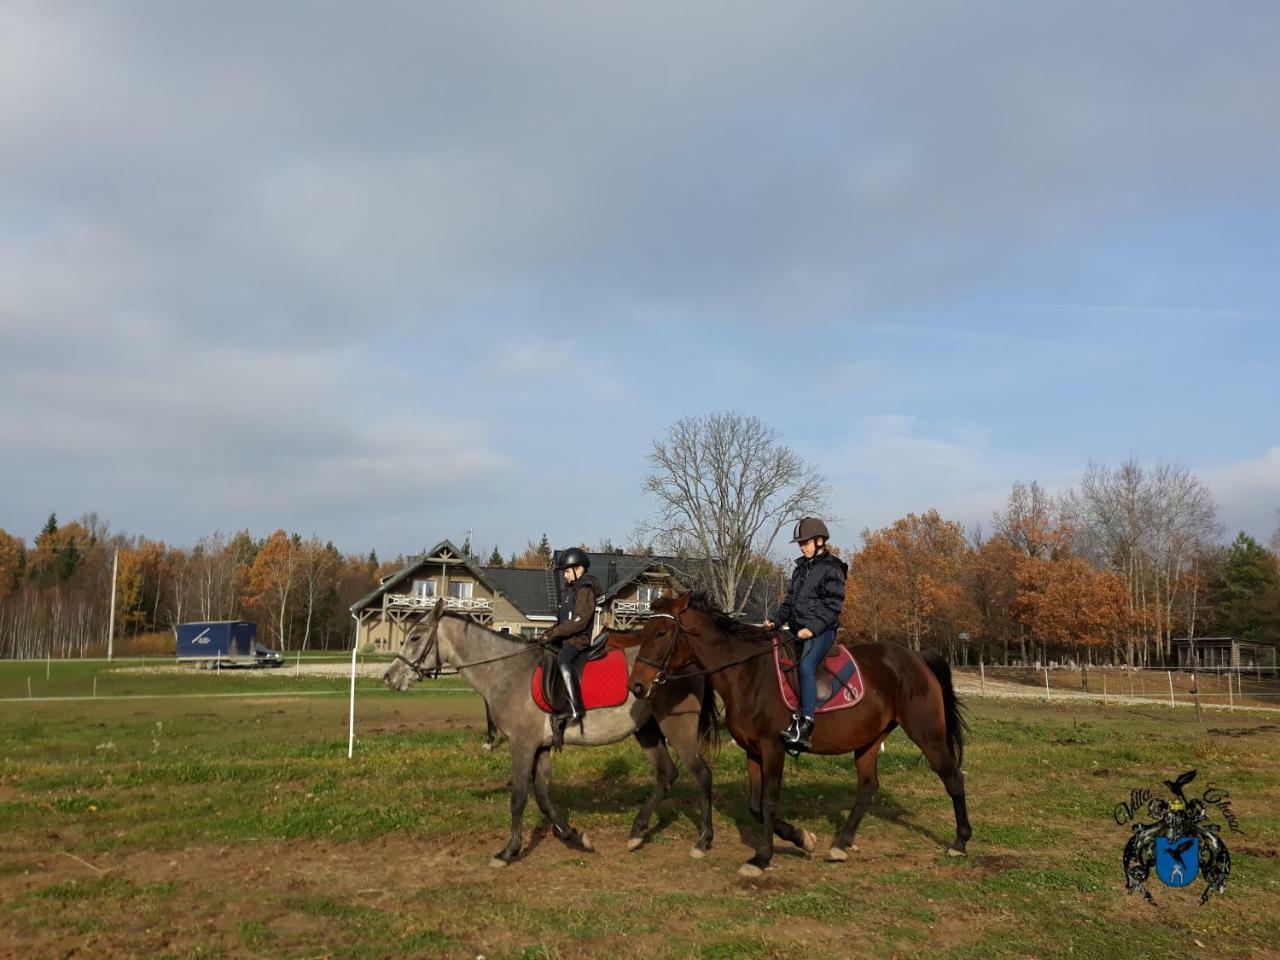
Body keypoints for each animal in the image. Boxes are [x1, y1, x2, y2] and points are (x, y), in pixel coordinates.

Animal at [378, 604, 721, 870]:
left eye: (416, 637)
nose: (390, 677)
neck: (508, 671)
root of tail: (687, 660)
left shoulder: (522, 745)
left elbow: (518, 797)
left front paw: (508, 852)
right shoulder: (540, 748)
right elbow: (543, 797)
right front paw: (575, 838)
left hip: (678, 728)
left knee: (701, 774)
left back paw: (703, 840)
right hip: (646, 729)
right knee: (667, 773)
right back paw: (637, 833)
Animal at [627, 593, 967, 880]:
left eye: (661, 633)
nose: (637, 686)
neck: (749, 674)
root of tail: (917, 658)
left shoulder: (773, 747)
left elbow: (768, 802)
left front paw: (762, 858)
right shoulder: (753, 751)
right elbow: (754, 805)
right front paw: (802, 839)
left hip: (928, 734)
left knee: (953, 778)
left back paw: (959, 842)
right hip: (869, 740)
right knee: (869, 787)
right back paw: (841, 844)